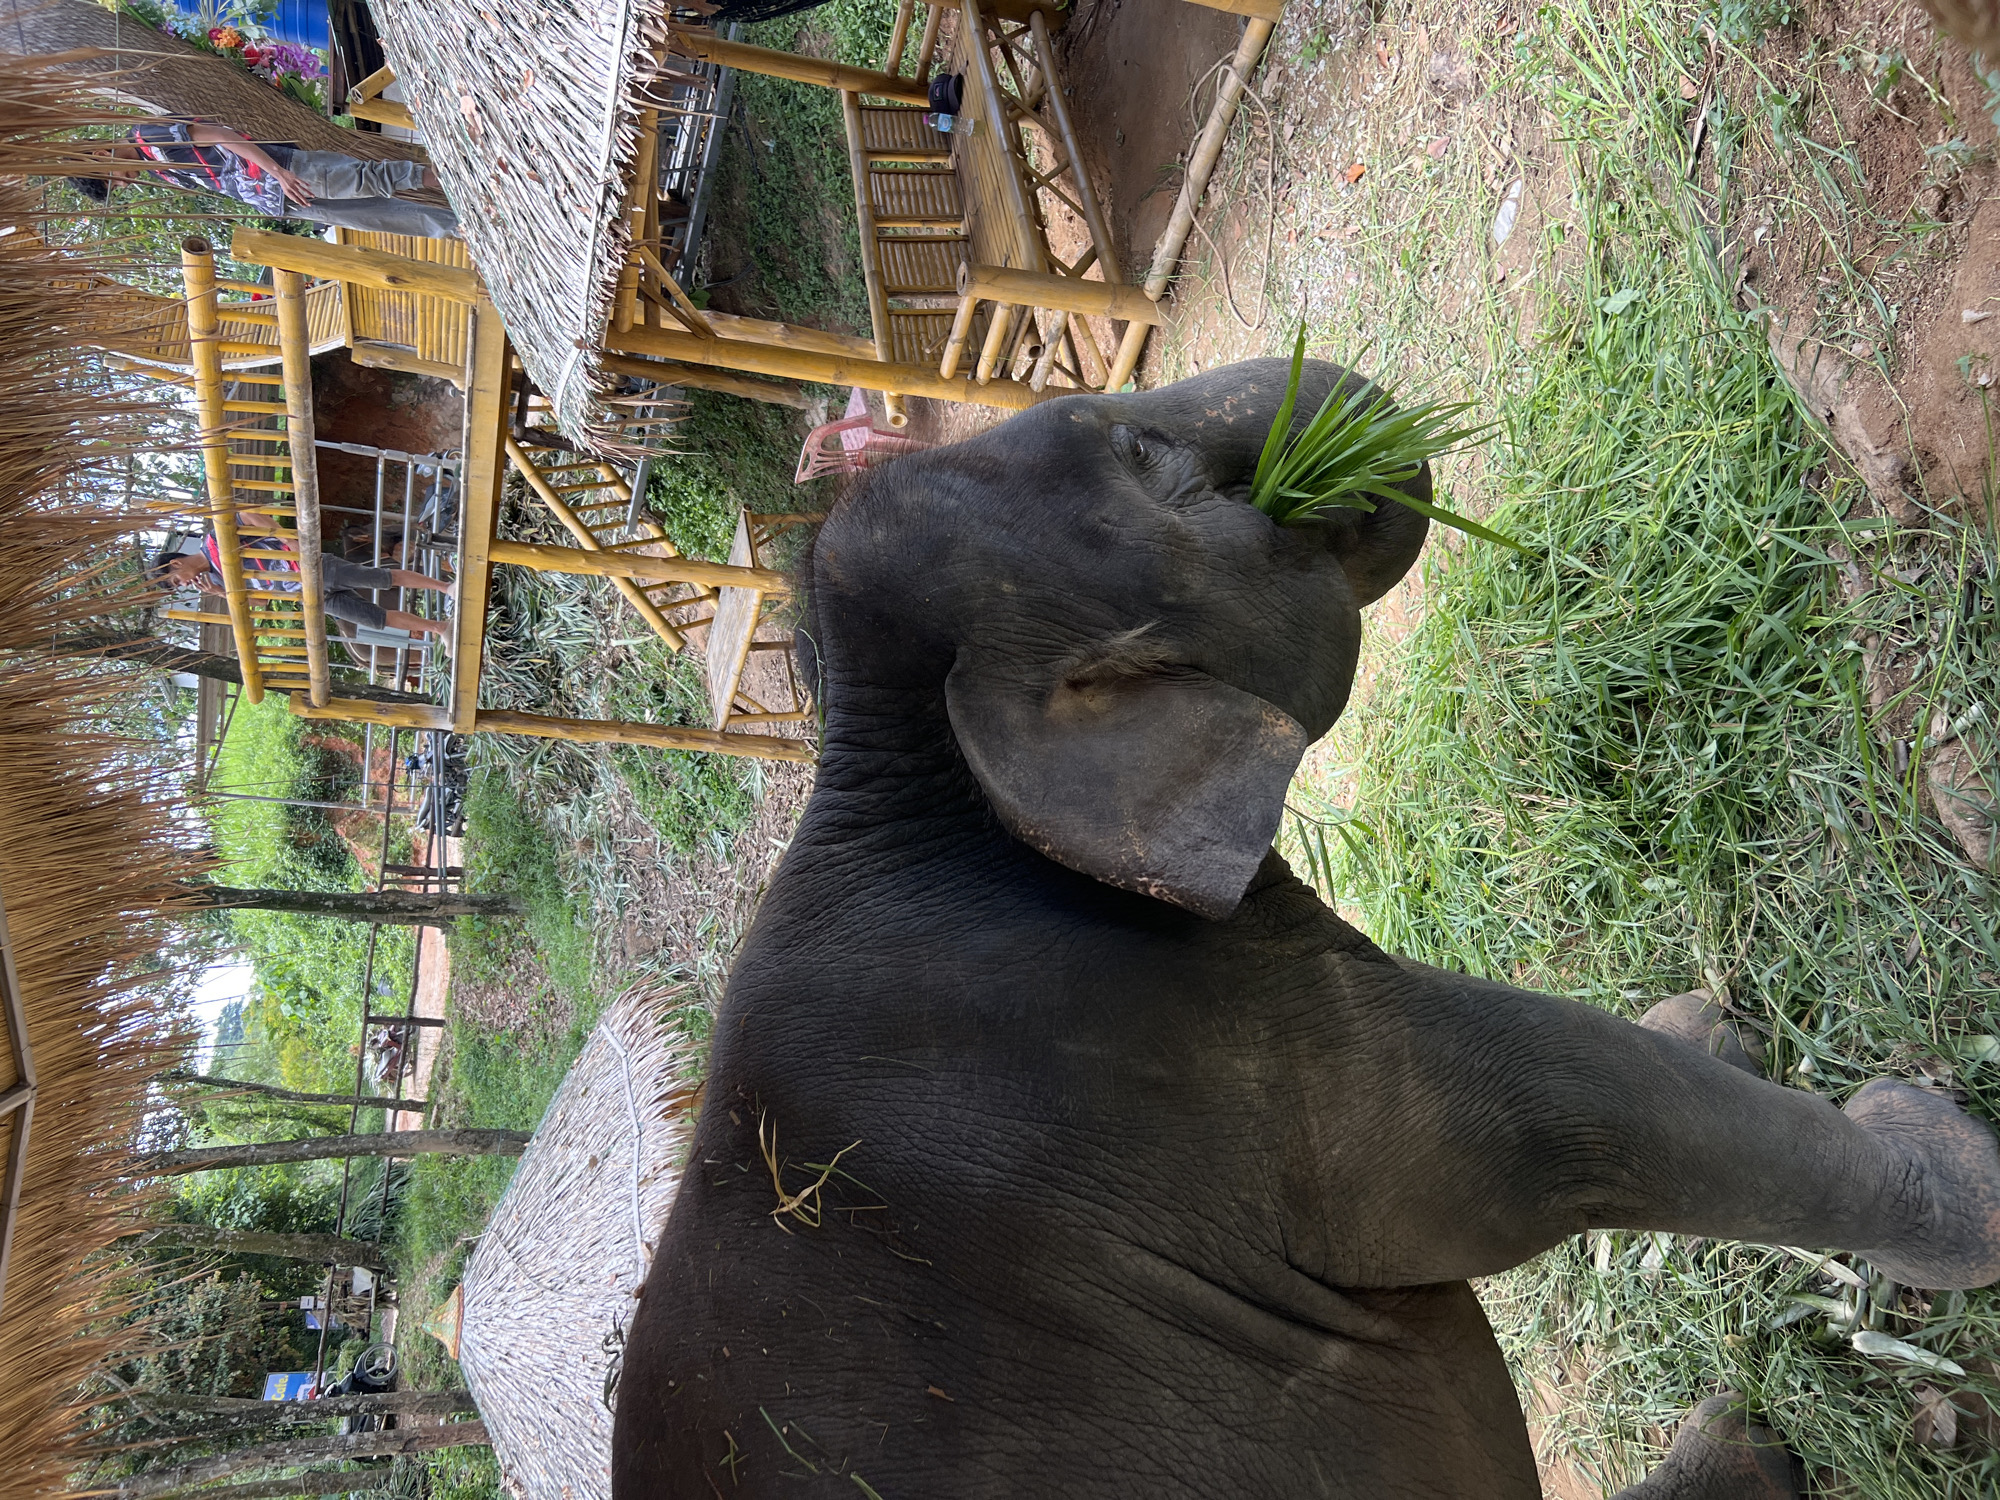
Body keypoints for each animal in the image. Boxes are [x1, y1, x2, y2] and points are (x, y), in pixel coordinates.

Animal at [611, 359, 2000, 1498]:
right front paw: (1952, 1170)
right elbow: (1558, 1120)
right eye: (1144, 459)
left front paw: (1705, 1025)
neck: (892, 774)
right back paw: (1746, 1449)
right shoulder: (1200, 1067)